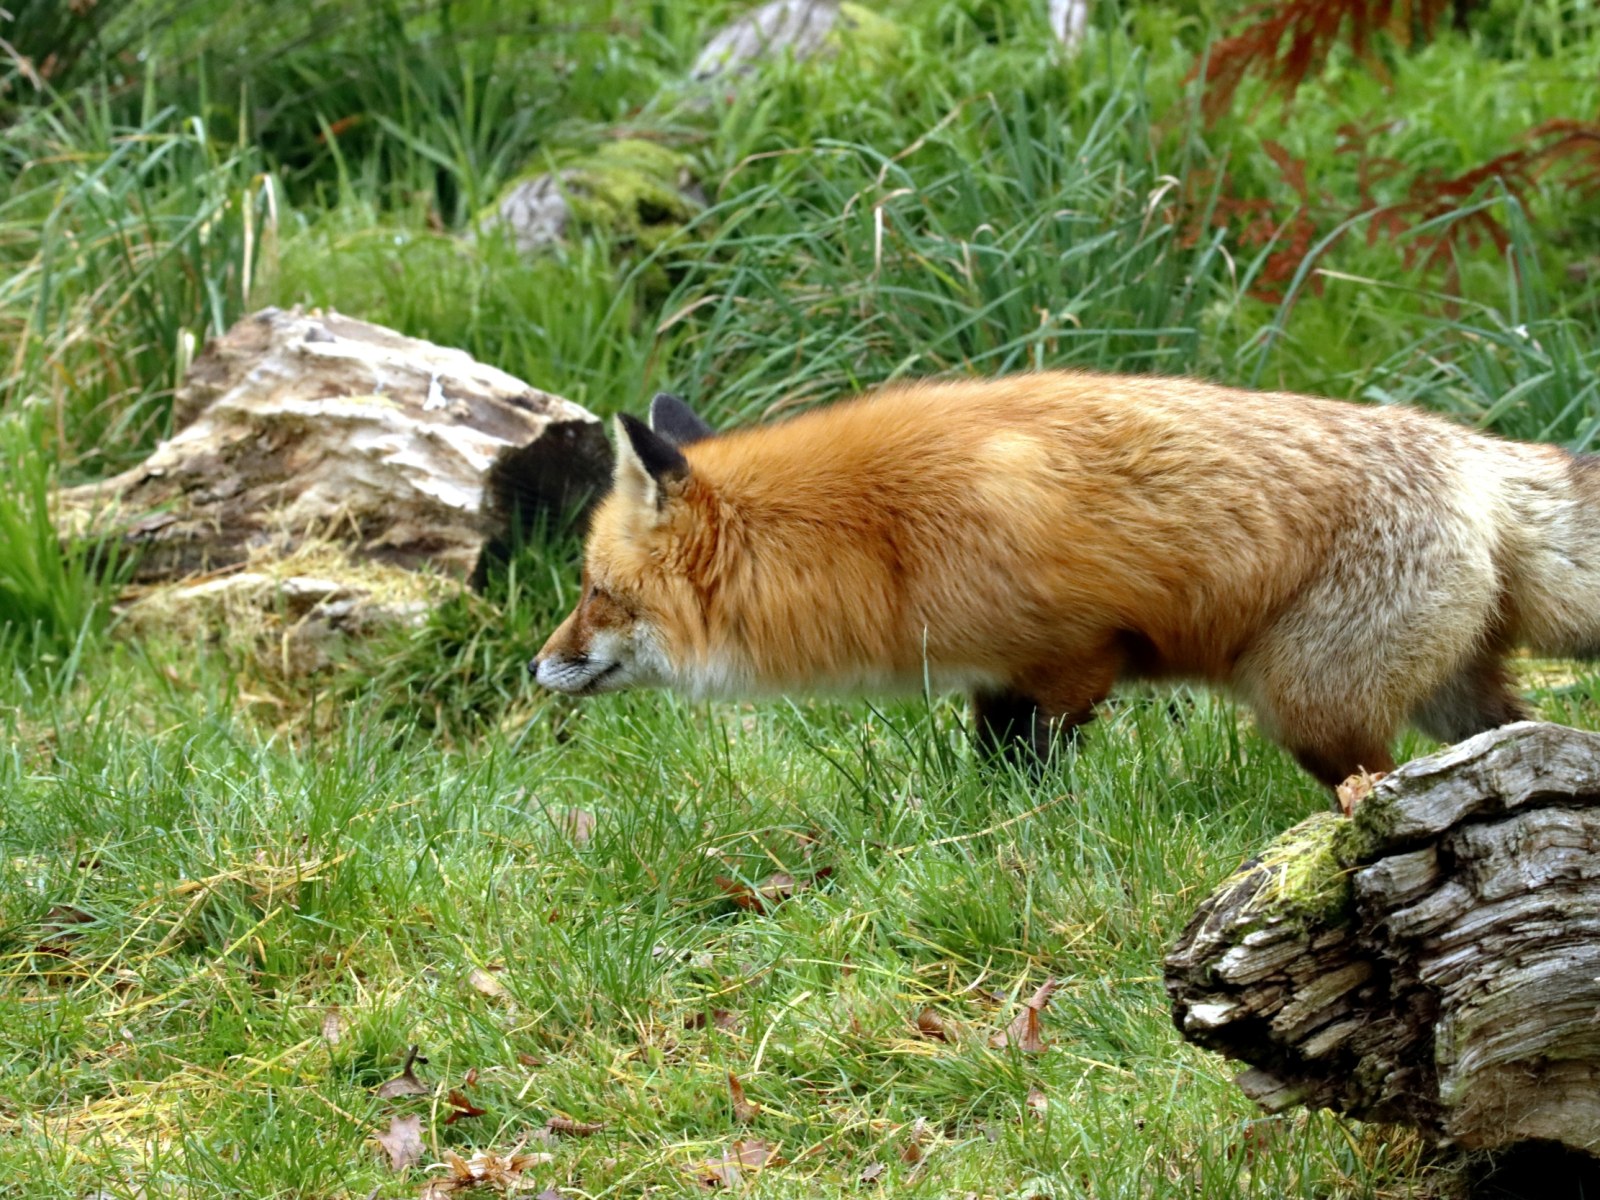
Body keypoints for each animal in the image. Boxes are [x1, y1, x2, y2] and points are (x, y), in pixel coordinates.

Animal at [531, 372, 1600, 787]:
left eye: (594, 593)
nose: (537, 669)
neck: (880, 540)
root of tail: (1464, 450)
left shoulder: (1073, 658)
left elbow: (1030, 774)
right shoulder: (996, 677)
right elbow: (991, 768)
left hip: (1311, 704)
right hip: (1447, 699)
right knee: (1536, 735)